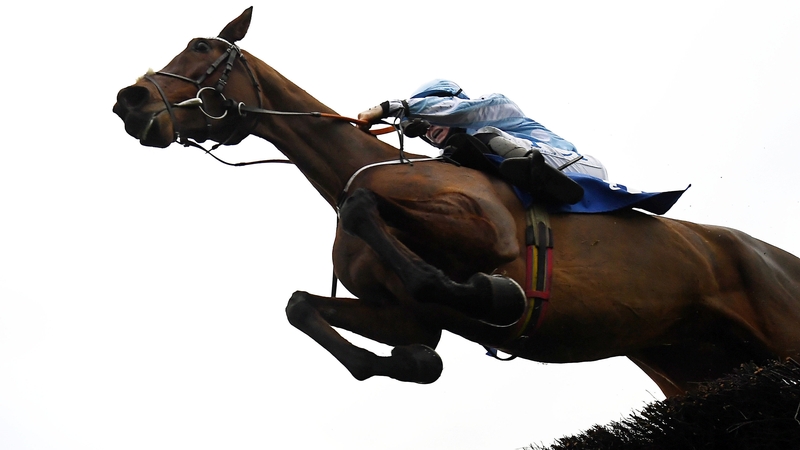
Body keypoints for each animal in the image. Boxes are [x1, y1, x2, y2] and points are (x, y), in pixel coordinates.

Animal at [113, 7, 800, 397]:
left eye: (202, 48)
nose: (130, 101)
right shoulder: (397, 312)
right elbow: (308, 308)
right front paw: (410, 361)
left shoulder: (484, 229)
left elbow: (370, 213)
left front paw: (496, 296)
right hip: (690, 363)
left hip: (778, 332)